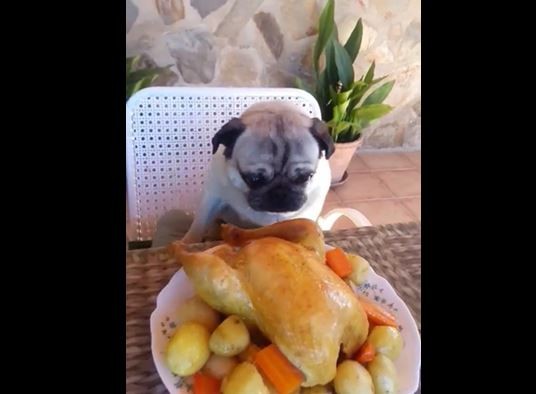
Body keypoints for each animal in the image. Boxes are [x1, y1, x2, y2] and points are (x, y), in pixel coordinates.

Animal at [179, 101, 336, 243]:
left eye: (305, 177)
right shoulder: (213, 197)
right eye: (254, 179)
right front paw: (188, 242)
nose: (280, 192)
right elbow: (199, 225)